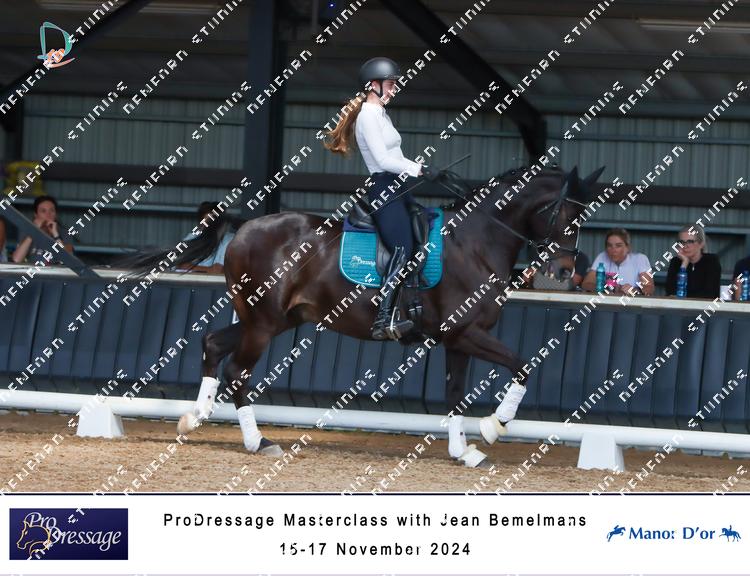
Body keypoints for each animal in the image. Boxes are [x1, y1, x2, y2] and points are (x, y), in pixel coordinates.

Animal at [119, 165, 603, 467]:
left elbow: (454, 394)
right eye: (562, 211)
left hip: (274, 319)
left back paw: (194, 416)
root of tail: (245, 227)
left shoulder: (458, 338)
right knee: (238, 369)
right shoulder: (466, 332)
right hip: (262, 322)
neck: (477, 242)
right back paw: (259, 441)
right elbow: (524, 365)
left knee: (213, 344)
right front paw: (493, 427)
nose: (565, 270)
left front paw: (464, 451)